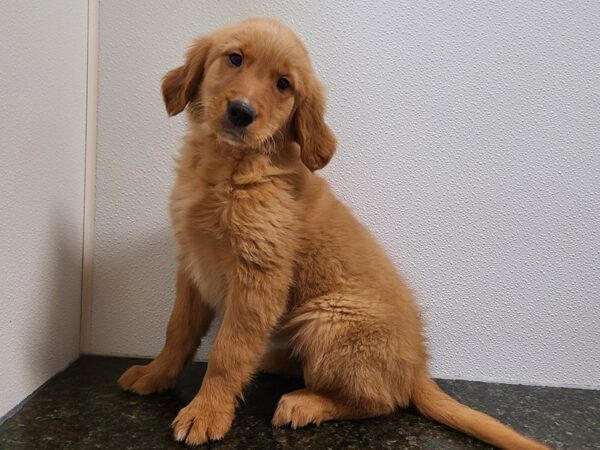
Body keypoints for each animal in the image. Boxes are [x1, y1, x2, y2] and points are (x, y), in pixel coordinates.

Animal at [116, 18, 548, 450]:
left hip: (327, 320)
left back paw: (304, 403)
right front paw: (155, 375)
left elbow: (228, 352)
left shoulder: (258, 278)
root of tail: (417, 369)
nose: (241, 112)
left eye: (284, 84)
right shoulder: (192, 266)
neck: (228, 168)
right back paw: (275, 362)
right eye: (234, 59)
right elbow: (178, 330)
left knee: (382, 401)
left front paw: (206, 413)